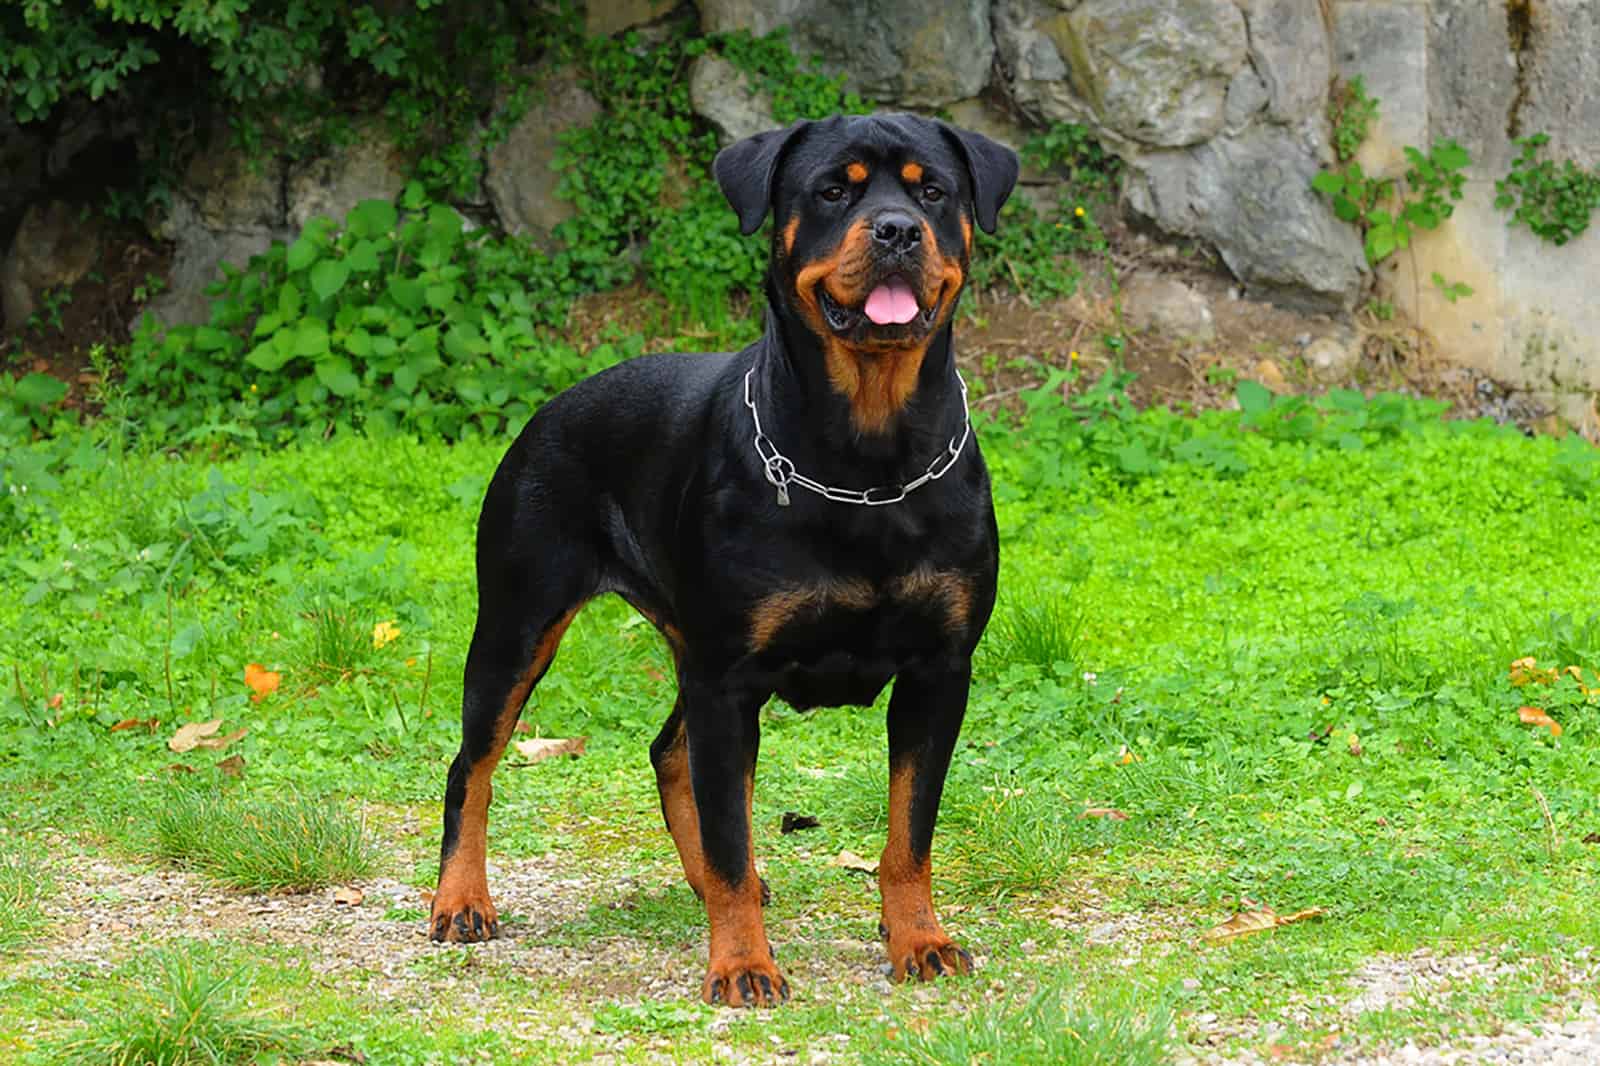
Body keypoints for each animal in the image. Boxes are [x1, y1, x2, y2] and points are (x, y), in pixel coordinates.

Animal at [432, 112, 1017, 998]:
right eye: (832, 190)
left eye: (933, 192)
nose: (896, 230)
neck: (867, 462)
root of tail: (549, 408)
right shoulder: (729, 679)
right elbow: (735, 837)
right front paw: (742, 962)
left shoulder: (937, 672)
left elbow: (908, 834)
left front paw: (919, 939)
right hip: (518, 624)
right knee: (474, 765)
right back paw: (461, 900)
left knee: (670, 756)